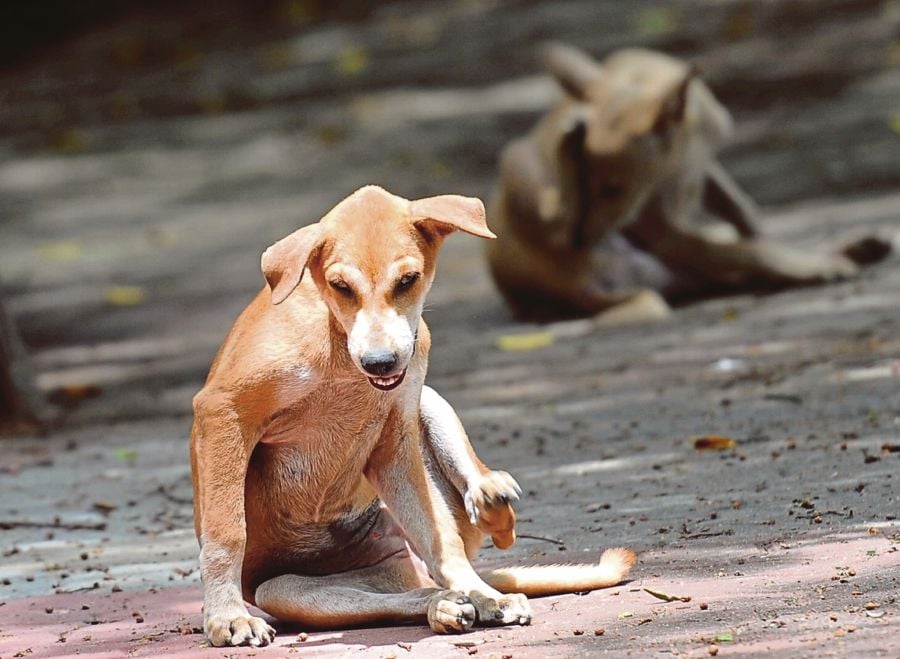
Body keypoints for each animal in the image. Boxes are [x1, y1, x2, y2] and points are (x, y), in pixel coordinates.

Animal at [192, 187, 632, 648]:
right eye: (340, 286)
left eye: (407, 280)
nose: (380, 362)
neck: (336, 341)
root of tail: (411, 573)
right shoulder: (222, 411)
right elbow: (227, 531)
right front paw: (227, 617)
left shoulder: (395, 438)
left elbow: (438, 537)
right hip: (285, 589)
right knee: (409, 596)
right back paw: (447, 605)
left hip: (425, 405)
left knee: (449, 548)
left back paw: (486, 548)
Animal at [488, 43, 884, 322]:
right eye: (597, 186)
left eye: (612, 190)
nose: (580, 241)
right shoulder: (661, 228)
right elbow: (747, 245)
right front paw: (808, 263)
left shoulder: (704, 172)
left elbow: (745, 217)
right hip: (518, 164)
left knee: (733, 261)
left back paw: (852, 247)